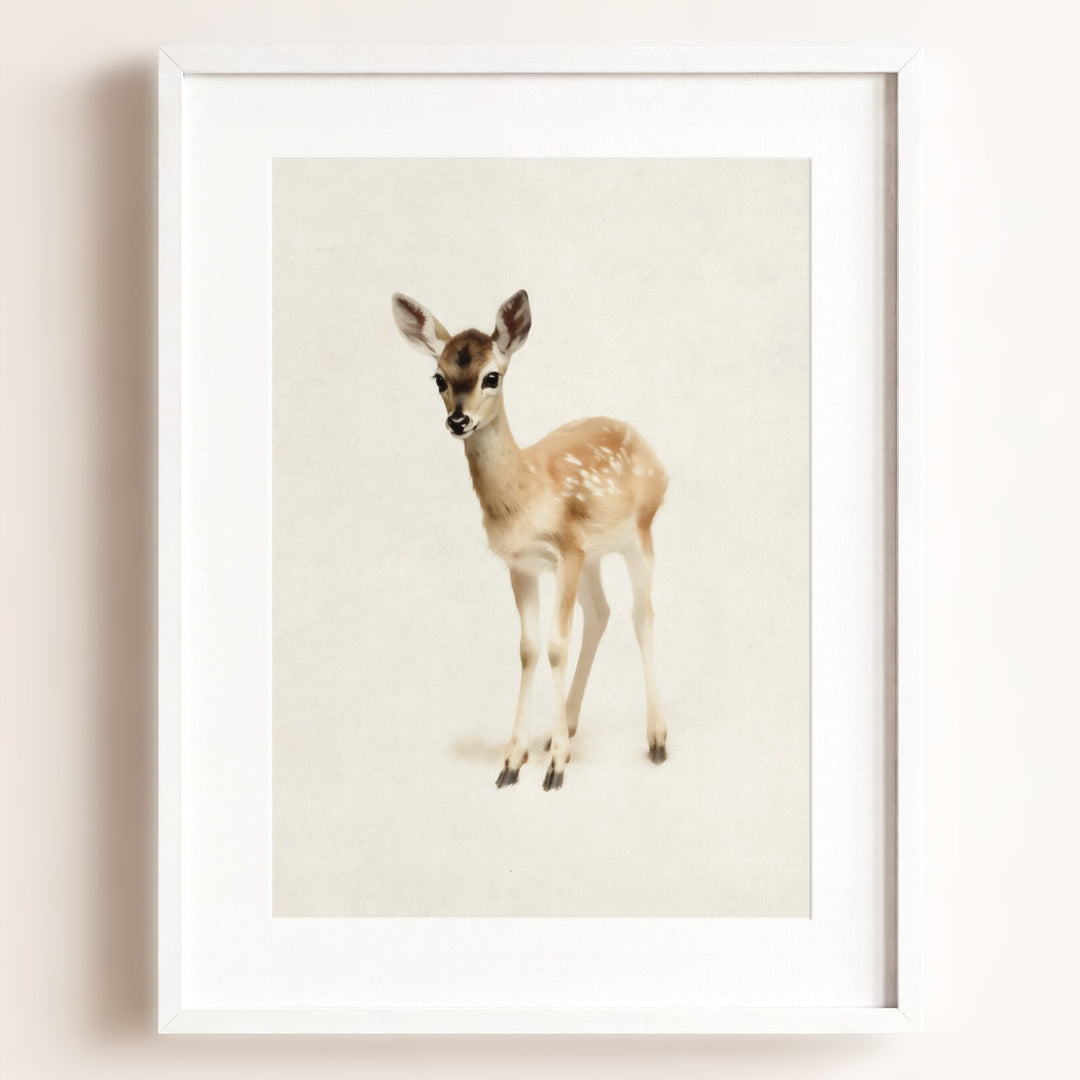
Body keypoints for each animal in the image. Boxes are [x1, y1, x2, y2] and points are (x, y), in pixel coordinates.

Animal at [391, 290, 669, 791]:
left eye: (492, 376)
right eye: (439, 377)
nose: (458, 420)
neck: (527, 497)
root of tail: (654, 454)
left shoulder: (566, 551)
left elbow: (557, 645)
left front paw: (555, 768)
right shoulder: (522, 563)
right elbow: (529, 648)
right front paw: (514, 760)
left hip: (638, 531)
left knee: (642, 614)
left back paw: (655, 739)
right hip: (594, 554)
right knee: (601, 612)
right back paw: (567, 727)